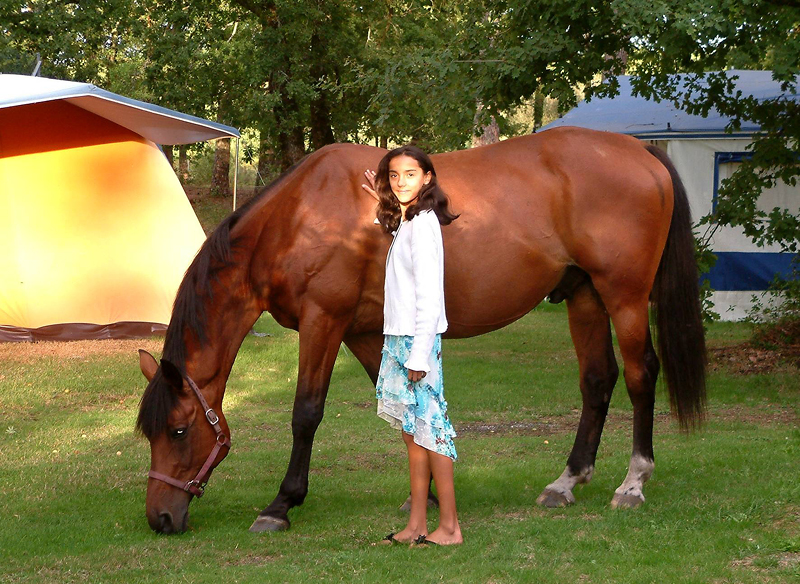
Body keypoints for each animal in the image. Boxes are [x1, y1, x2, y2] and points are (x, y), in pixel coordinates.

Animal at [136, 126, 706, 534]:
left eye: (179, 430)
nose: (160, 518)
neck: (299, 216)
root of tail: (640, 151)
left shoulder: (324, 321)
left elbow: (306, 414)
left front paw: (281, 504)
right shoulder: (365, 332)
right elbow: (402, 410)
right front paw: (431, 494)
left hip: (624, 296)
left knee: (640, 375)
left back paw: (633, 483)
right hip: (585, 296)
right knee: (597, 380)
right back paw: (567, 481)